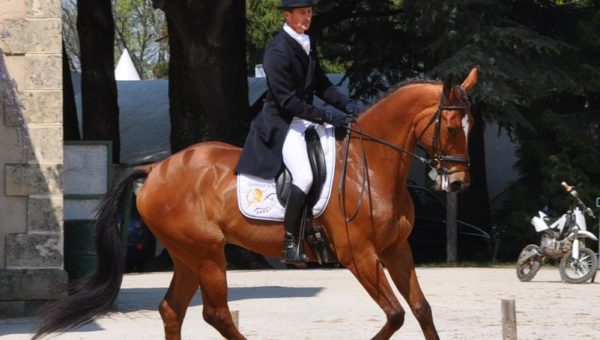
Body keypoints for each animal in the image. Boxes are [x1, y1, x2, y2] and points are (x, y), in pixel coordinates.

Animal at [35, 67, 478, 340]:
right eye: (451, 126)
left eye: (471, 126)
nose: (457, 183)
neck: (369, 165)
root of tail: (157, 167)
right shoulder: (360, 255)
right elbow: (395, 314)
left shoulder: (395, 249)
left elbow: (421, 309)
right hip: (208, 253)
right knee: (215, 314)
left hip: (188, 255)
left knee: (172, 310)